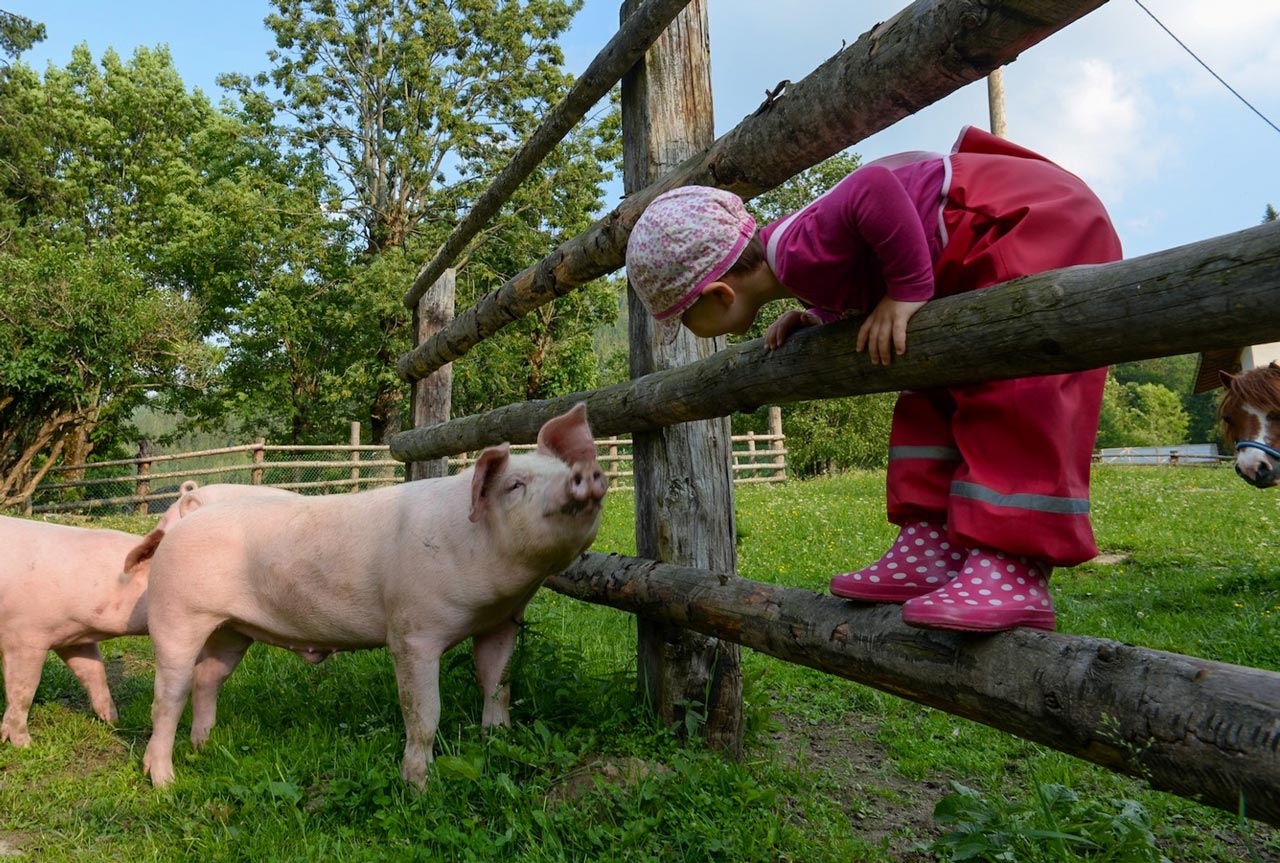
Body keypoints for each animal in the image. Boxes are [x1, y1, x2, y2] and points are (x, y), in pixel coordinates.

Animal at [141, 403, 607, 788]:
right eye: (514, 485)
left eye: (563, 467)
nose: (584, 473)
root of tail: (189, 511)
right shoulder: (412, 631)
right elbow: (423, 712)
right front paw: (418, 787)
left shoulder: (501, 622)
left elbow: (497, 685)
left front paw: (497, 740)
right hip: (175, 616)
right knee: (168, 696)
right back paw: (165, 782)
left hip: (233, 630)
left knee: (208, 677)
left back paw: (205, 747)